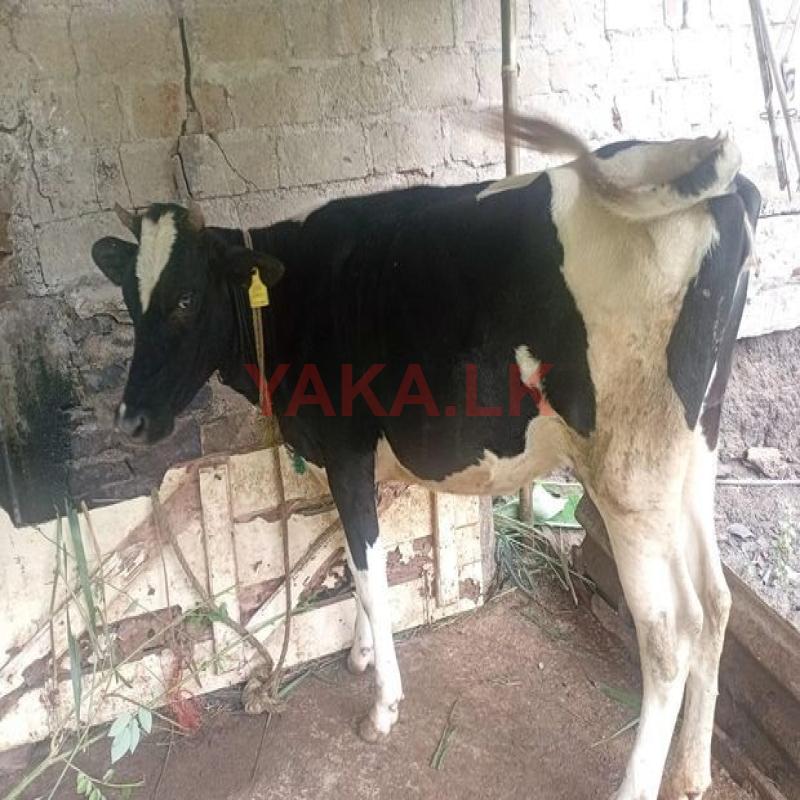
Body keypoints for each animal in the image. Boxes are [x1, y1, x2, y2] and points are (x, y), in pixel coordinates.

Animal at [90, 114, 760, 800]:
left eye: (186, 298)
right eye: (130, 298)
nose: (129, 418)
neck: (294, 297)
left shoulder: (345, 449)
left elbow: (368, 570)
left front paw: (382, 704)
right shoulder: (357, 460)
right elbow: (358, 554)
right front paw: (362, 653)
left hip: (629, 475)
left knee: (670, 633)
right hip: (693, 448)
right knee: (717, 601)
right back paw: (691, 770)